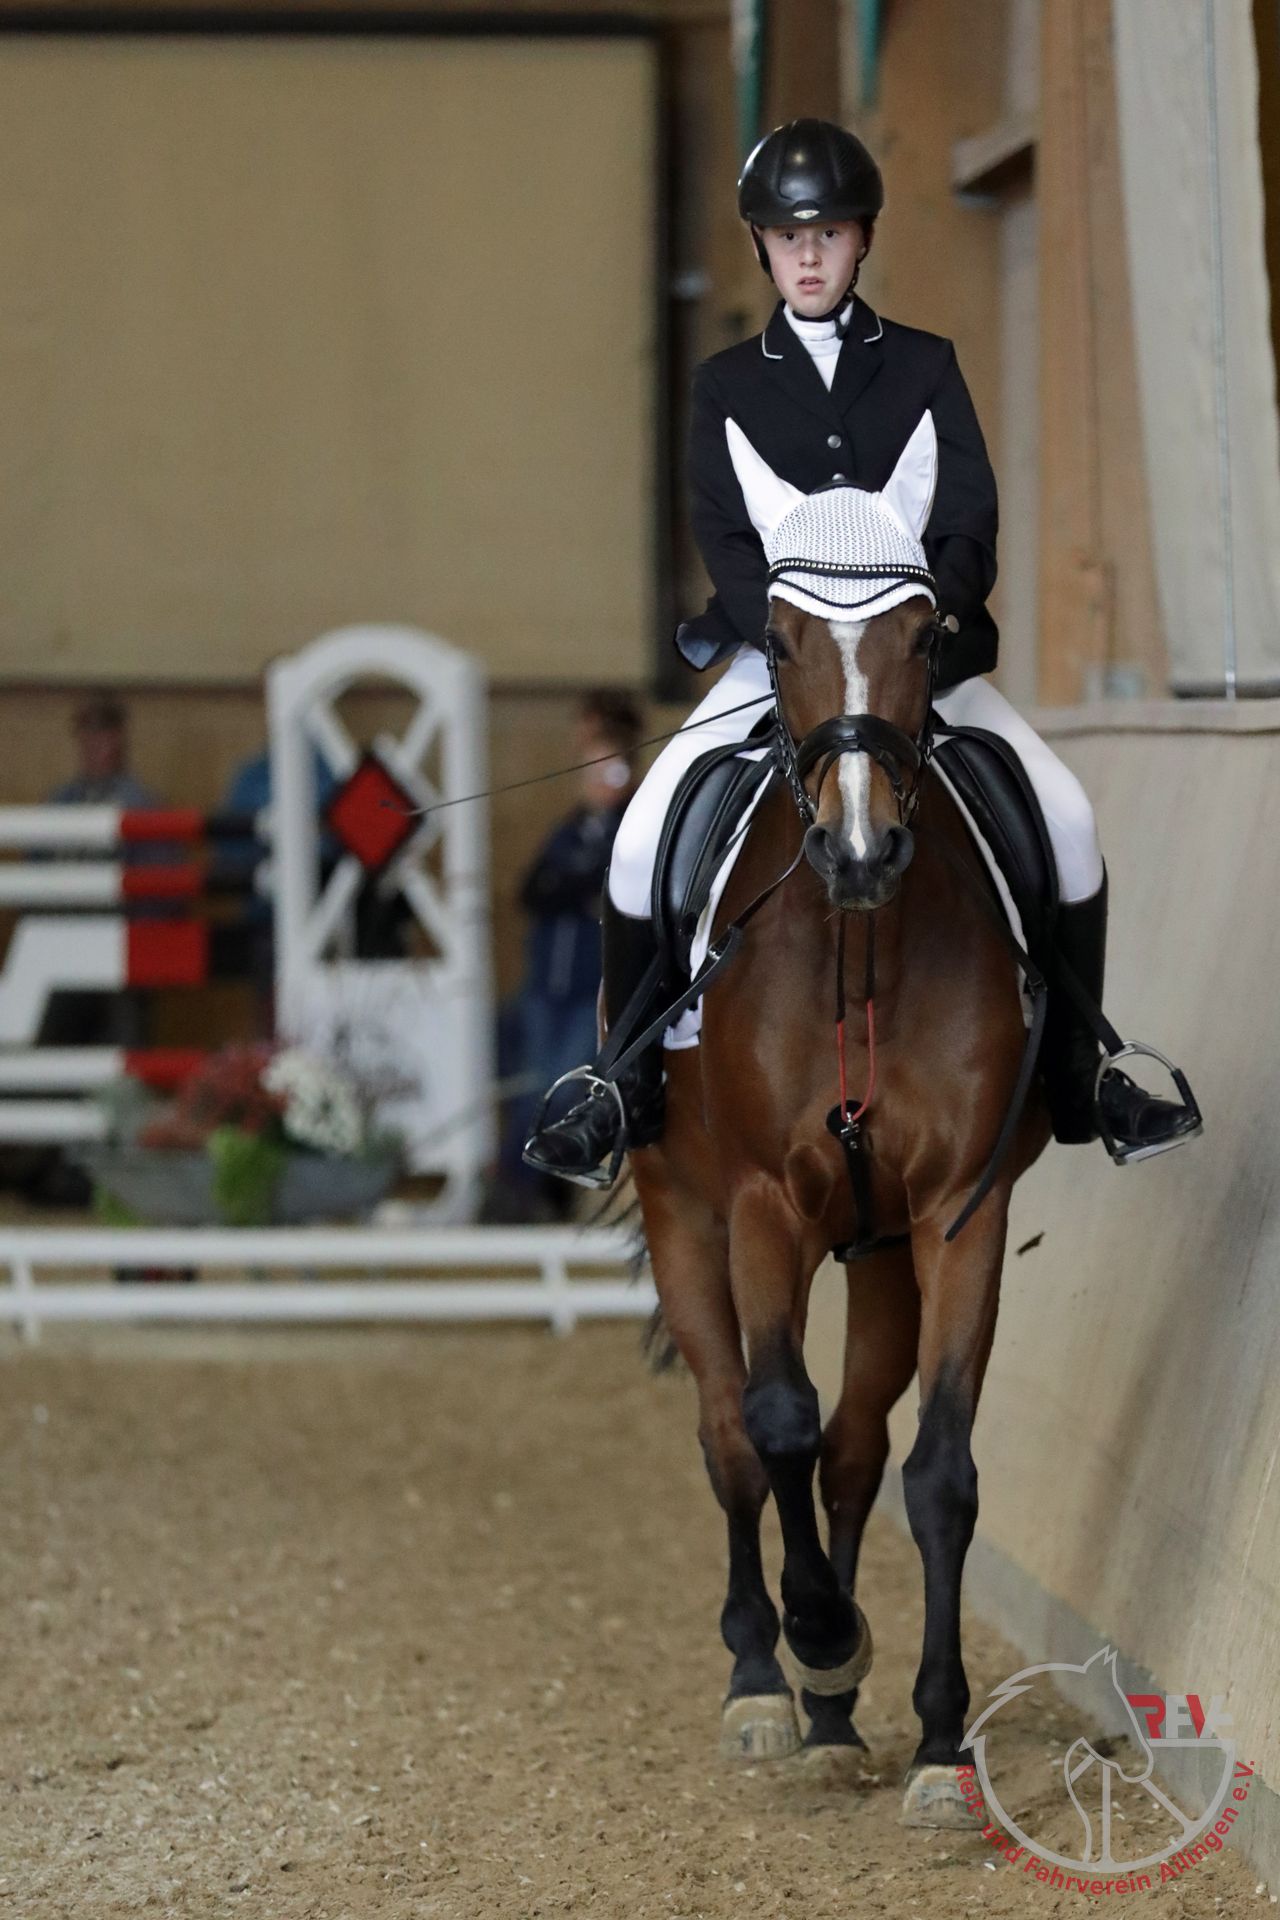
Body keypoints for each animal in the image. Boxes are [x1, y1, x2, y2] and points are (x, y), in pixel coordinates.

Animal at [624, 414, 1052, 1828]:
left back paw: (831, 1715)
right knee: (730, 1433)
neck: (858, 947)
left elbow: (936, 1471)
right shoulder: (760, 1203)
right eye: (777, 630)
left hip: (874, 1257)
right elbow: (772, 1423)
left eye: (926, 632)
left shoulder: (956, 1213)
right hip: (682, 1213)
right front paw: (814, 1639)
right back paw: (770, 1682)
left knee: (856, 1448)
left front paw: (936, 1742)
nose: (858, 854)